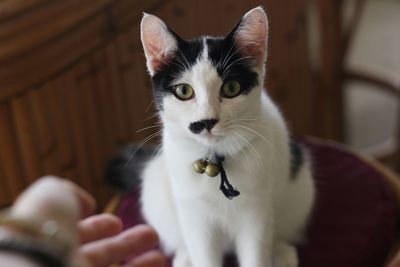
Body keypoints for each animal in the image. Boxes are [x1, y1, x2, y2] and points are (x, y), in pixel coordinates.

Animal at [116, 6, 316, 267]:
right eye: (183, 91)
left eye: (231, 88)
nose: (206, 121)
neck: (214, 160)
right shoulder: (195, 219)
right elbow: (203, 254)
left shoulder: (257, 214)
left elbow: (255, 254)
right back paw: (184, 257)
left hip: (299, 188)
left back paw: (282, 252)